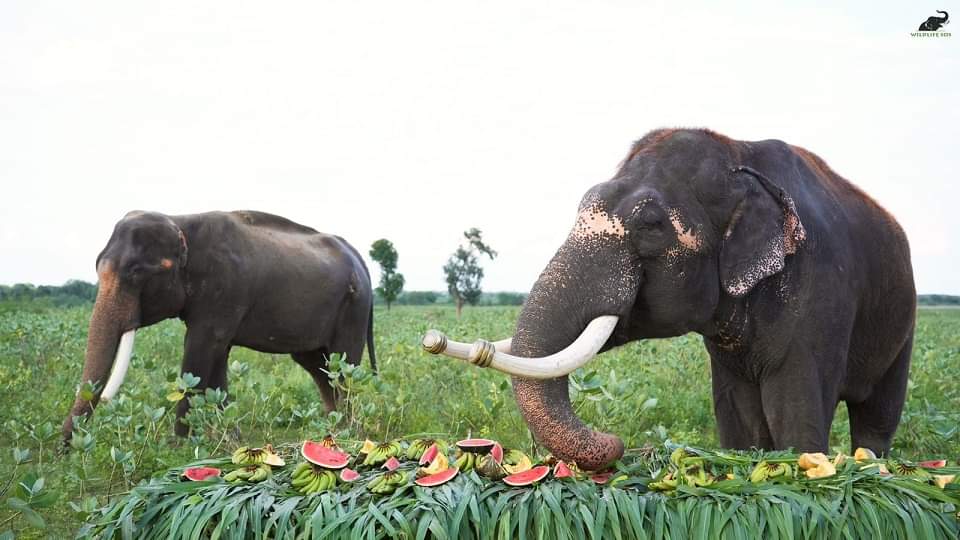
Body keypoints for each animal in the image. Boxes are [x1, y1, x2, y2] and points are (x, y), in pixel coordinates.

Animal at [62, 210, 376, 443]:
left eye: (136, 272)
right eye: (97, 266)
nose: (65, 449)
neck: (180, 221)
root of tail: (358, 257)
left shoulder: (223, 289)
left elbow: (199, 347)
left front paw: (180, 444)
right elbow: (217, 353)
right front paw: (228, 438)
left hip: (354, 306)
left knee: (343, 362)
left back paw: (348, 431)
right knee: (316, 364)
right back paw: (334, 428)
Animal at [424, 129, 915, 470]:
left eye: (651, 225)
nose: (617, 442)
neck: (740, 156)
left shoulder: (818, 296)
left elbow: (796, 413)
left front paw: (804, 463)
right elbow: (738, 417)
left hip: (904, 321)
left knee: (877, 418)